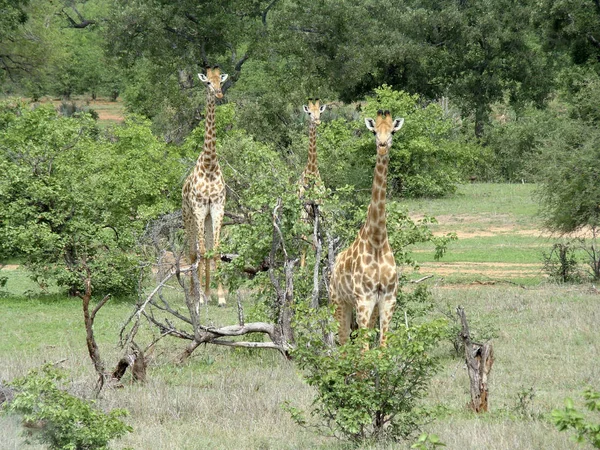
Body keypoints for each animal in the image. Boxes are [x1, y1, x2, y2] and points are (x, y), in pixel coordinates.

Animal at [328, 109, 408, 348]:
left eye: (392, 131)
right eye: (374, 131)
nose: (382, 145)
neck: (378, 239)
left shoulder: (388, 298)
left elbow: (381, 347)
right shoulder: (364, 298)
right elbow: (363, 349)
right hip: (338, 301)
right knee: (343, 342)